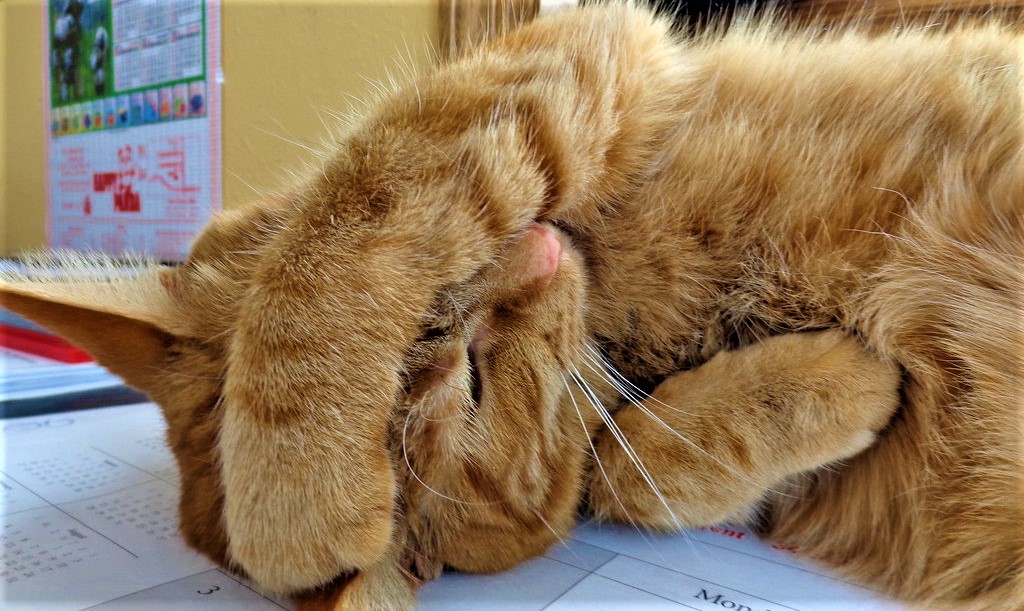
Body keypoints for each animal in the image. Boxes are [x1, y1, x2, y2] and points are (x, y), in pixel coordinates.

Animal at [0, 4, 1019, 609]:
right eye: (478, 388)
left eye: (436, 324)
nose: (536, 249)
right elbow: (626, 466)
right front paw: (848, 380)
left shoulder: (583, 43)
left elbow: (351, 217)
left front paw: (296, 489)